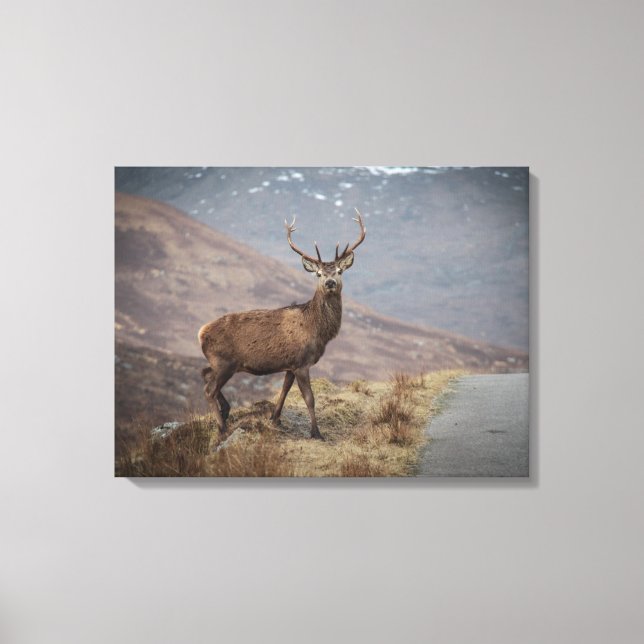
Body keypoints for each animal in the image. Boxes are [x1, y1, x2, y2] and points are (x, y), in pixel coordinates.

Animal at [198, 209, 366, 440]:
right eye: (319, 274)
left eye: (340, 271)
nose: (330, 282)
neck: (318, 331)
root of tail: (200, 333)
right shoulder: (302, 363)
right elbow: (309, 398)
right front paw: (316, 432)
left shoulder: (291, 364)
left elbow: (285, 390)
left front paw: (275, 418)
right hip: (224, 362)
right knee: (209, 389)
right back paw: (223, 429)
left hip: (220, 363)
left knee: (204, 373)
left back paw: (226, 410)